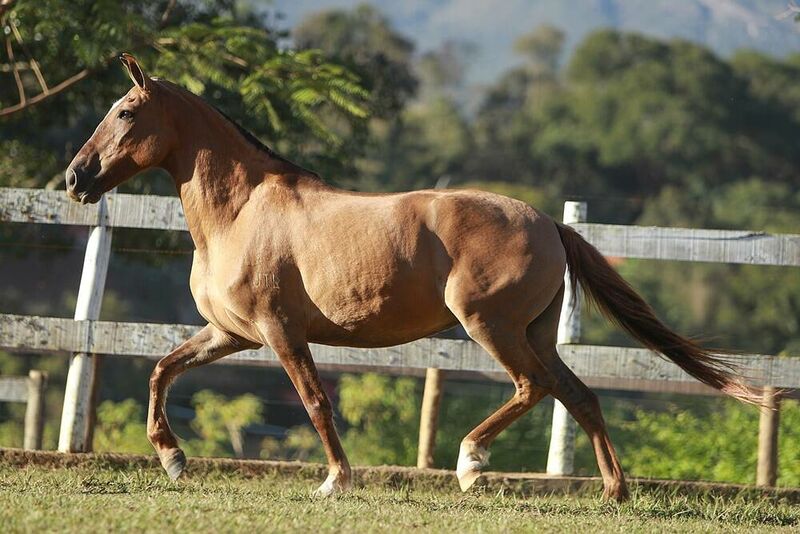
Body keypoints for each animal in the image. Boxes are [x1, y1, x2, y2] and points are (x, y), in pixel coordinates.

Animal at [65, 54, 760, 502]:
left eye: (126, 112)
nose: (75, 178)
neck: (241, 212)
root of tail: (547, 224)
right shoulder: (230, 334)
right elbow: (162, 370)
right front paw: (173, 459)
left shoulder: (280, 331)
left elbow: (314, 402)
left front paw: (335, 481)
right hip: (534, 332)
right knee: (578, 395)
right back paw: (615, 492)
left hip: (491, 325)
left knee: (534, 388)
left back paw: (471, 464)